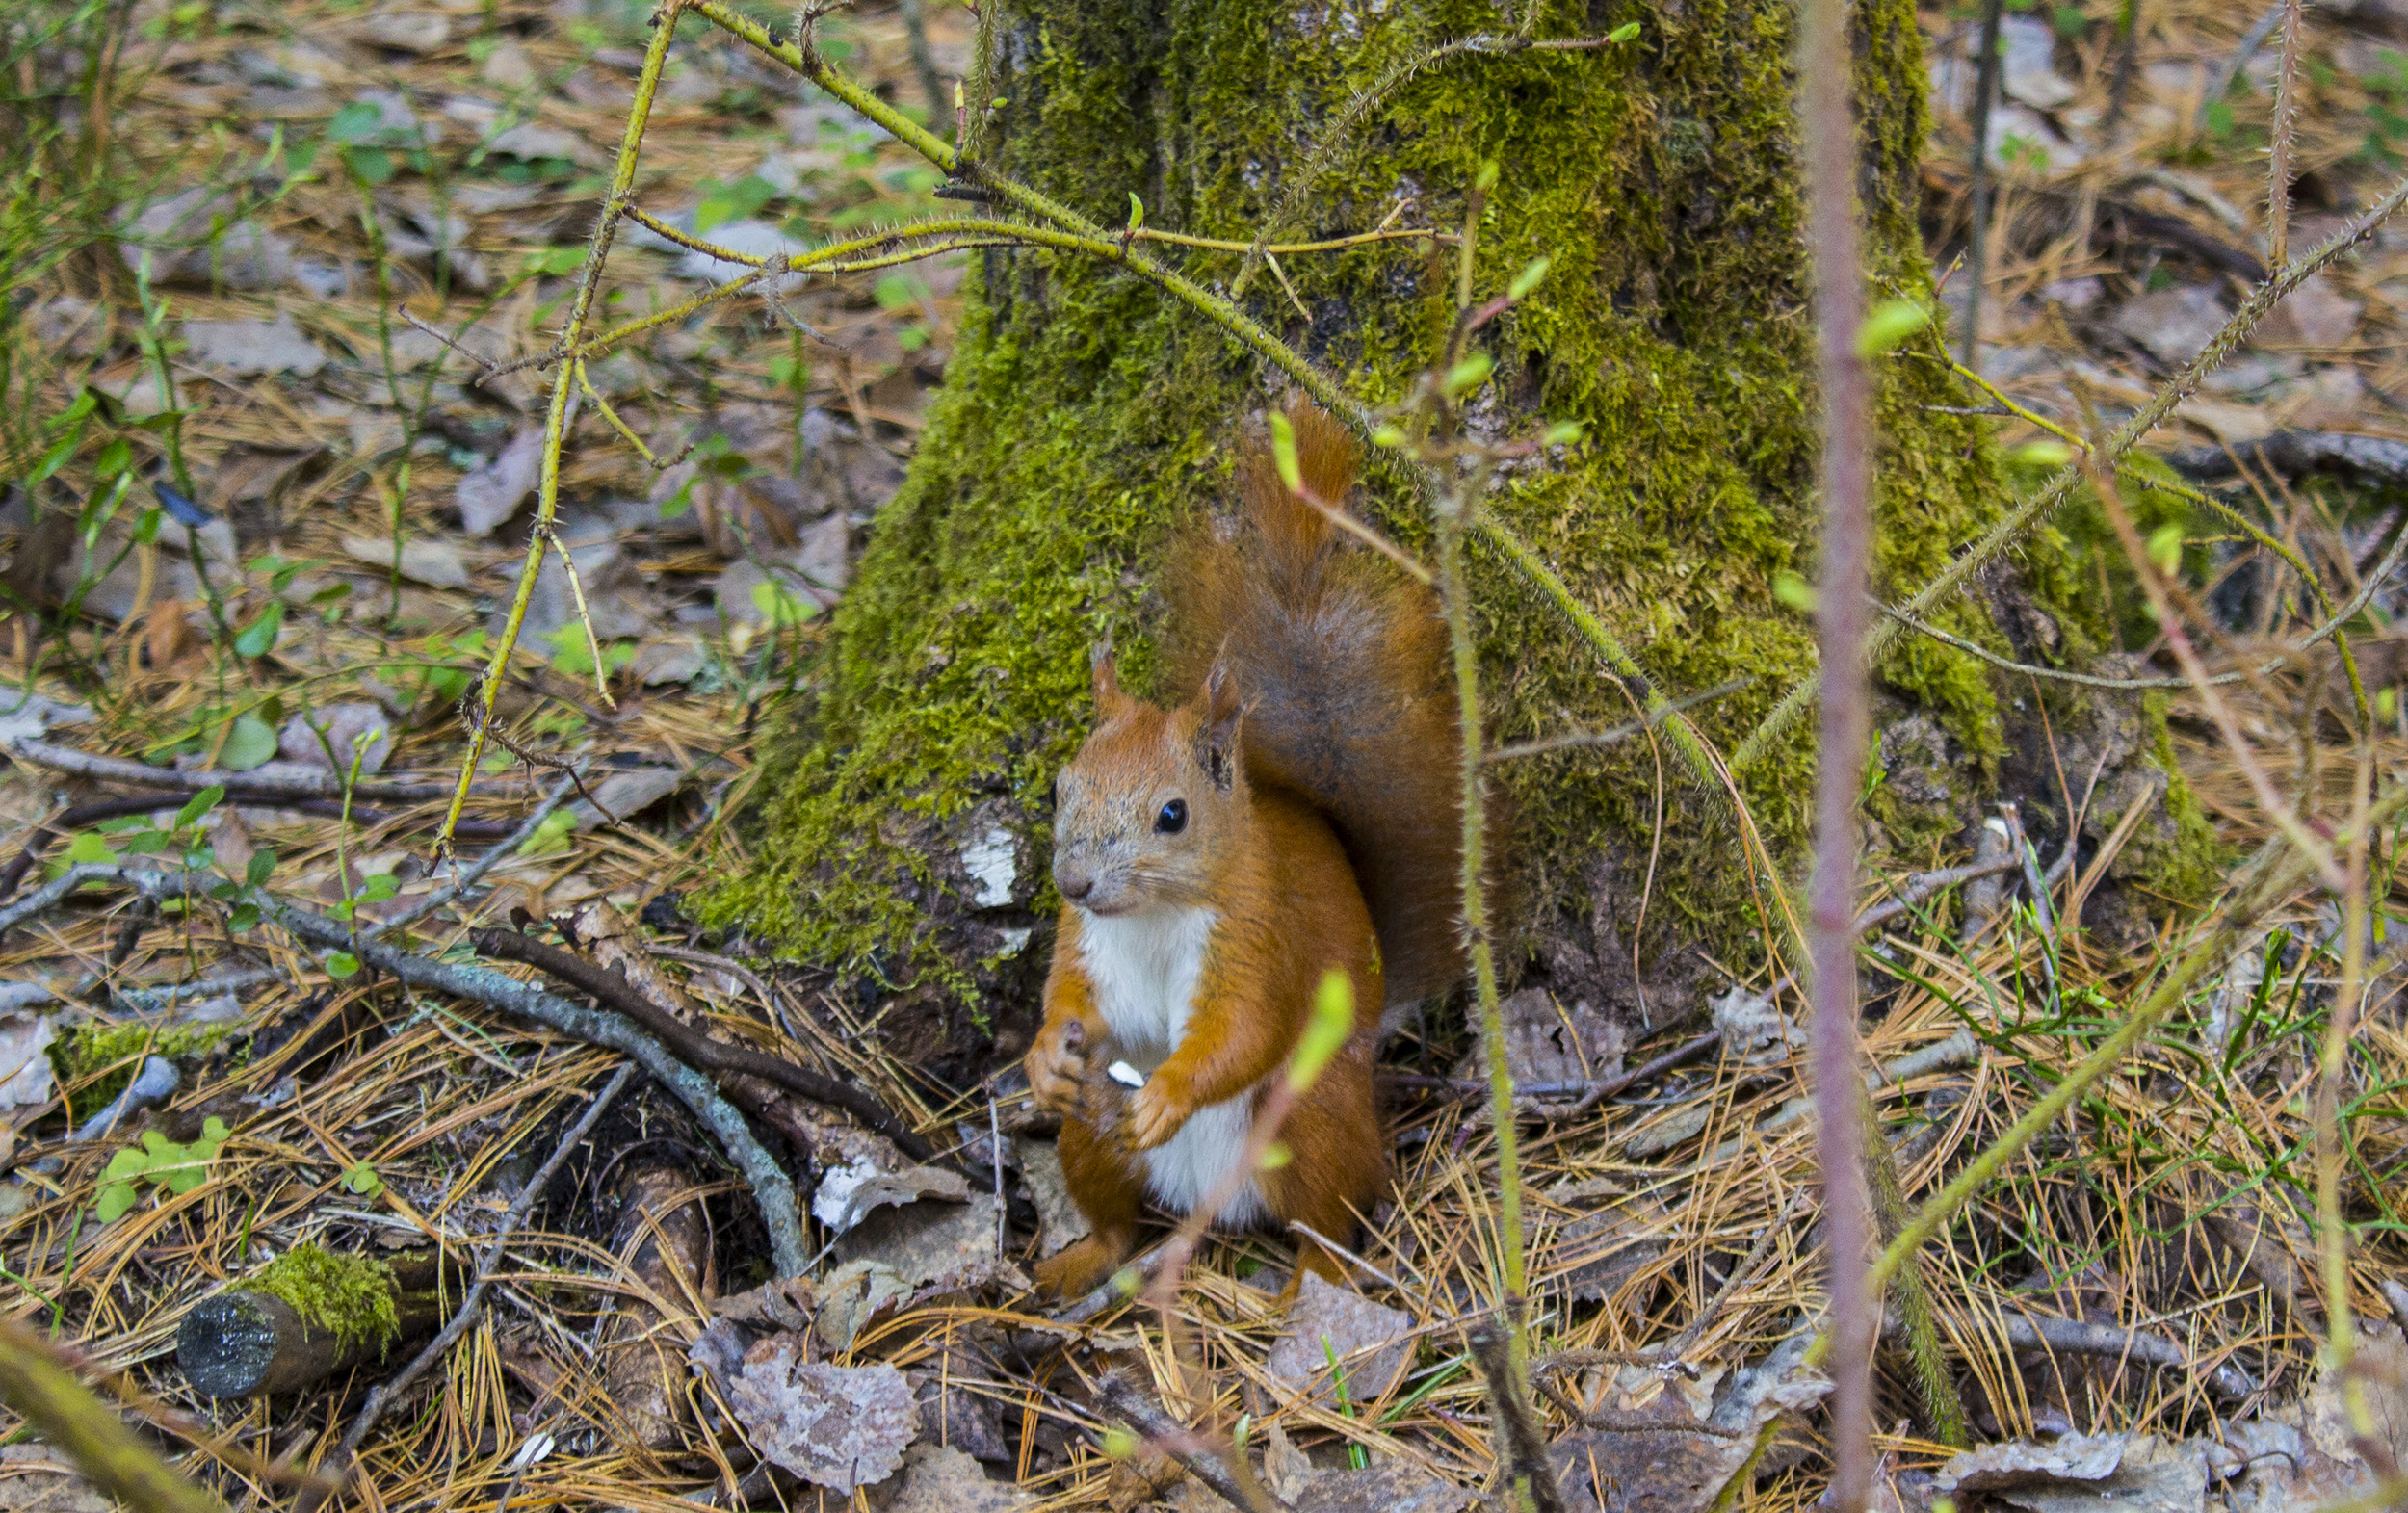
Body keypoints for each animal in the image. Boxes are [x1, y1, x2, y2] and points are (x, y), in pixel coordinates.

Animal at [1022, 399, 1466, 1301]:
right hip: (1095, 1131)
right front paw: (1046, 1054)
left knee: (1329, 1221)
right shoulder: (1086, 943)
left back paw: (1302, 1292)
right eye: (1059, 787)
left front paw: (1171, 1091)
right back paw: (1079, 1258)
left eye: (1173, 813)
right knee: (1115, 1217)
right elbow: (1071, 999)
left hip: (1311, 1122)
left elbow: (1244, 1029)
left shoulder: (1260, 930)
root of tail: (1210, 1198)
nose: (1074, 882)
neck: (1153, 914)